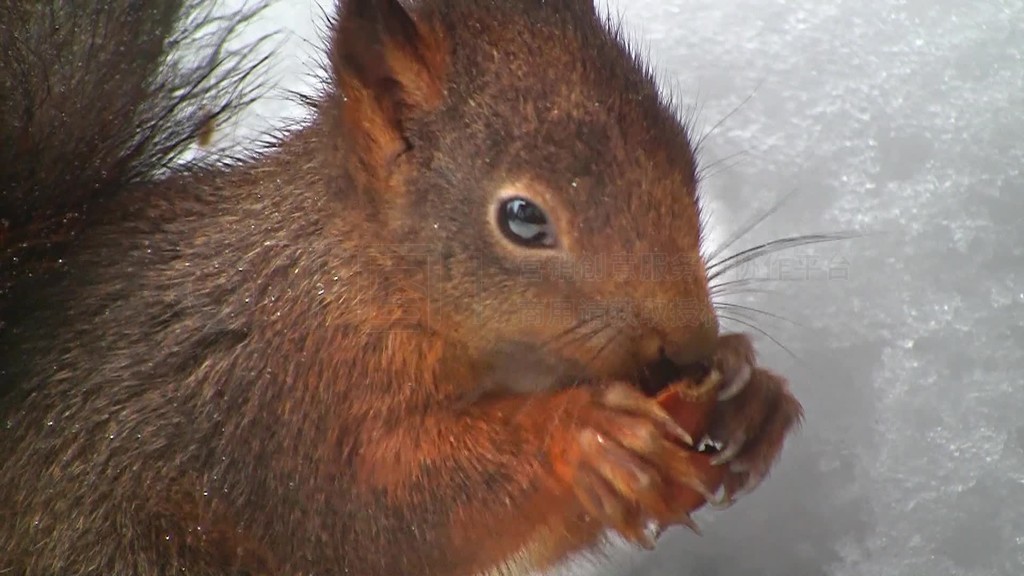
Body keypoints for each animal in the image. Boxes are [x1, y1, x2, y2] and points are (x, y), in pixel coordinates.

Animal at [0, 1, 802, 573]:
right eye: (522, 218)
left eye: (684, 158)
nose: (688, 344)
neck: (379, 281)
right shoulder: (286, 395)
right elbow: (386, 512)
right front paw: (586, 436)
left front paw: (750, 390)